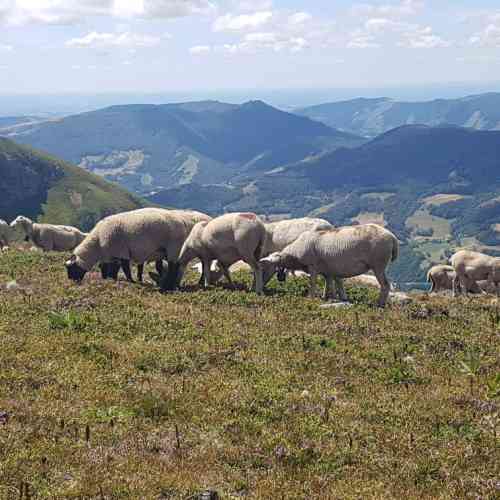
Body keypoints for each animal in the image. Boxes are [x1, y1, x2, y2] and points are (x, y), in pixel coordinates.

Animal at [65, 207, 211, 286]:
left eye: (71, 269)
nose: (72, 281)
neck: (98, 243)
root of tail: (181, 222)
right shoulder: (114, 252)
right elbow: (113, 267)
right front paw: (112, 278)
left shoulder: (121, 250)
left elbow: (125, 268)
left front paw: (131, 281)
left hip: (174, 247)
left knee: (177, 265)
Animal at [262, 225, 398, 306]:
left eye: (270, 265)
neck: (294, 254)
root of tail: (392, 237)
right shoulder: (327, 270)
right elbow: (329, 284)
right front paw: (327, 297)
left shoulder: (313, 266)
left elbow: (313, 283)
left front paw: (311, 298)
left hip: (379, 264)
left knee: (385, 285)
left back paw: (379, 304)